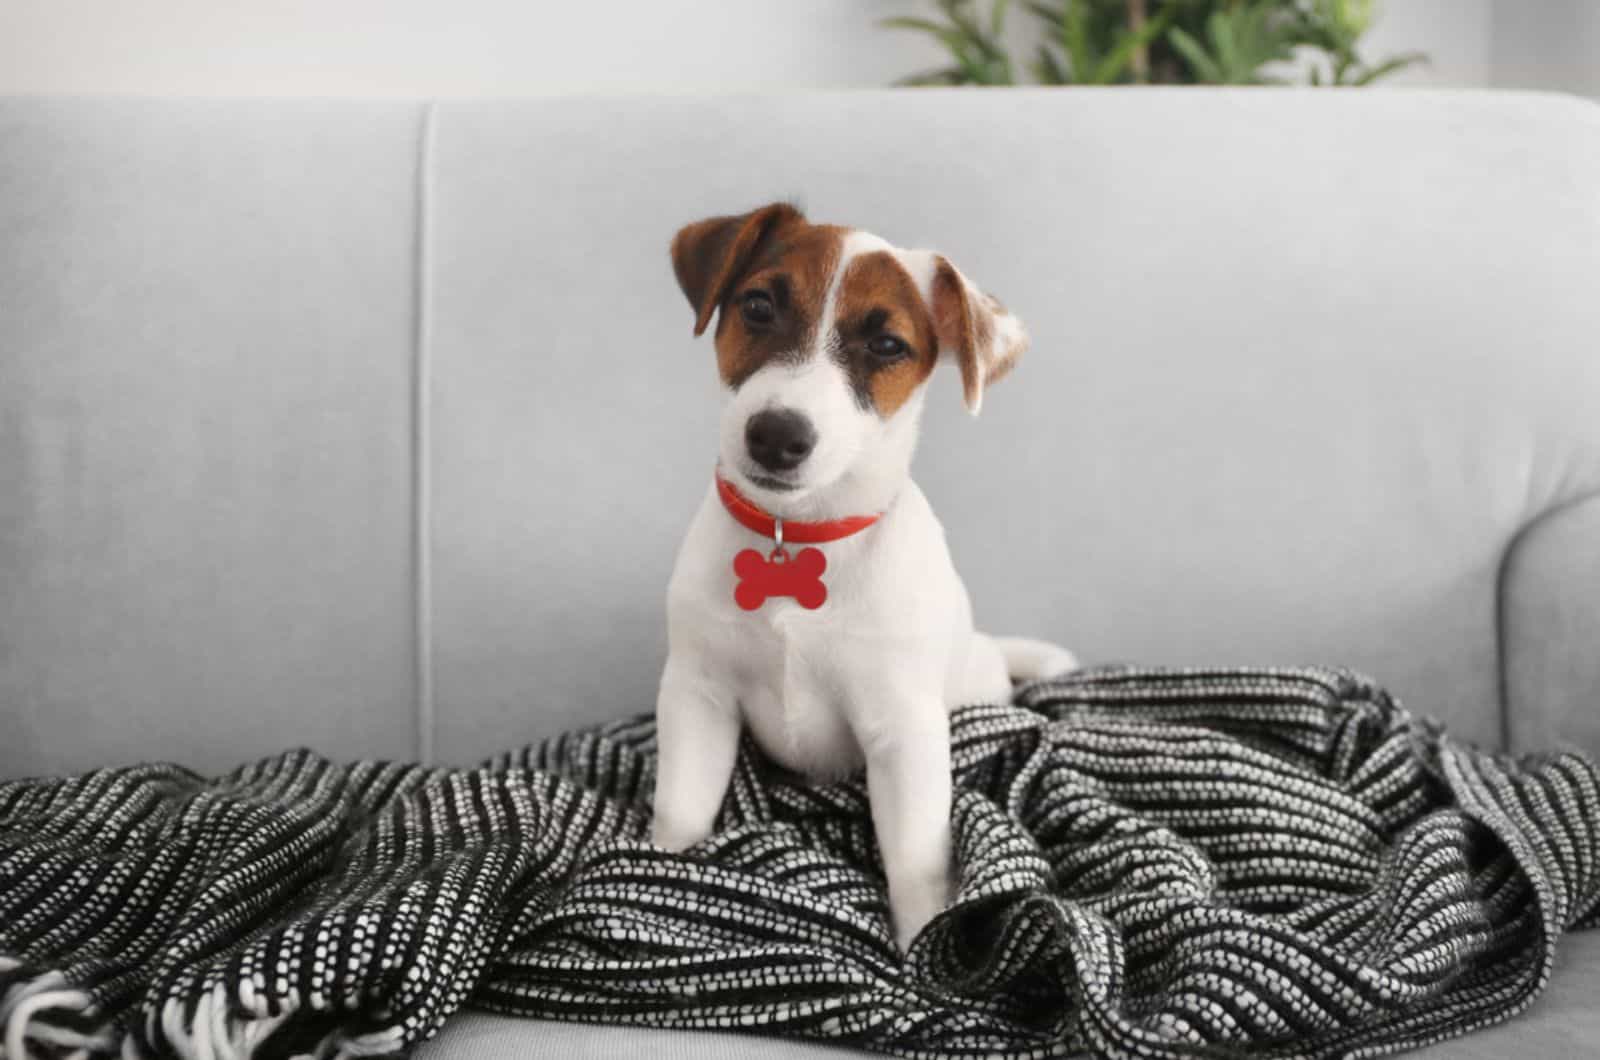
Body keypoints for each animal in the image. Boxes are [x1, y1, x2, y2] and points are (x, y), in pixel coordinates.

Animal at [649, 201, 1075, 954]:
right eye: (757, 306)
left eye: (886, 346)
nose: (776, 435)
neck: (797, 537)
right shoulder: (697, 696)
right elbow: (681, 808)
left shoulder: (902, 731)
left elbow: (914, 860)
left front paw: (923, 951)